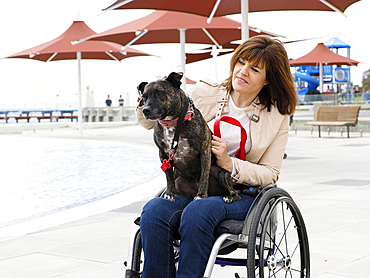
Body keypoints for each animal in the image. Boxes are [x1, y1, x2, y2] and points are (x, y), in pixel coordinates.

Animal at [138, 73, 240, 203]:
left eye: (160, 93)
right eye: (143, 97)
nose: (145, 110)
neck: (173, 123)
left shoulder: (205, 150)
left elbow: (204, 175)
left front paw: (201, 195)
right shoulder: (163, 154)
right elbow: (168, 177)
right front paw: (169, 194)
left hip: (221, 173)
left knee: (235, 193)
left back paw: (229, 197)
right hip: (179, 182)